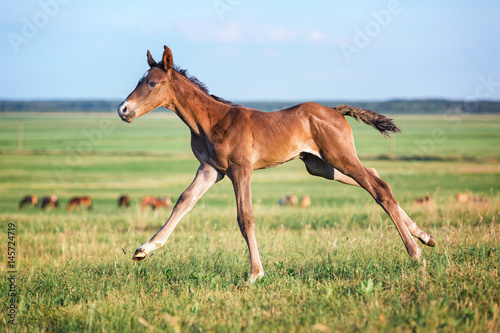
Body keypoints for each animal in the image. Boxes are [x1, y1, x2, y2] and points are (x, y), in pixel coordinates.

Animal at [116, 45, 434, 282]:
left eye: (152, 83)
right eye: (139, 81)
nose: (123, 110)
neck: (210, 121)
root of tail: (335, 110)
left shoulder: (240, 170)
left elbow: (245, 217)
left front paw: (255, 273)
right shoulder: (211, 170)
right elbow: (183, 201)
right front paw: (144, 249)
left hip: (338, 157)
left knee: (379, 188)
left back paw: (415, 253)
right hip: (320, 166)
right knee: (374, 177)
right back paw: (425, 236)